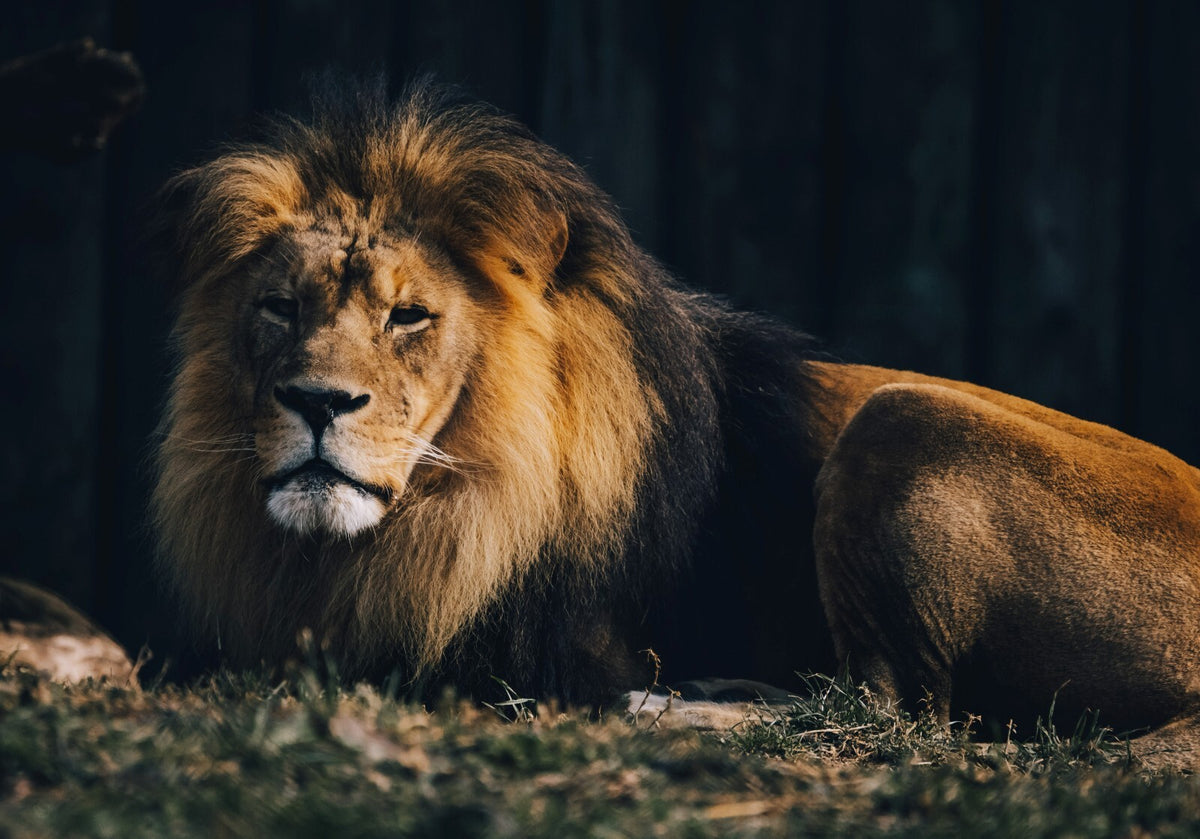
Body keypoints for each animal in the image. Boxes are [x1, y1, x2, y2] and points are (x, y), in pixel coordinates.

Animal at [152, 79, 1200, 730]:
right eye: (280, 308)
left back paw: (671, 708)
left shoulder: (543, 652)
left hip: (904, 417)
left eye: (409, 314)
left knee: (892, 712)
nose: (317, 400)